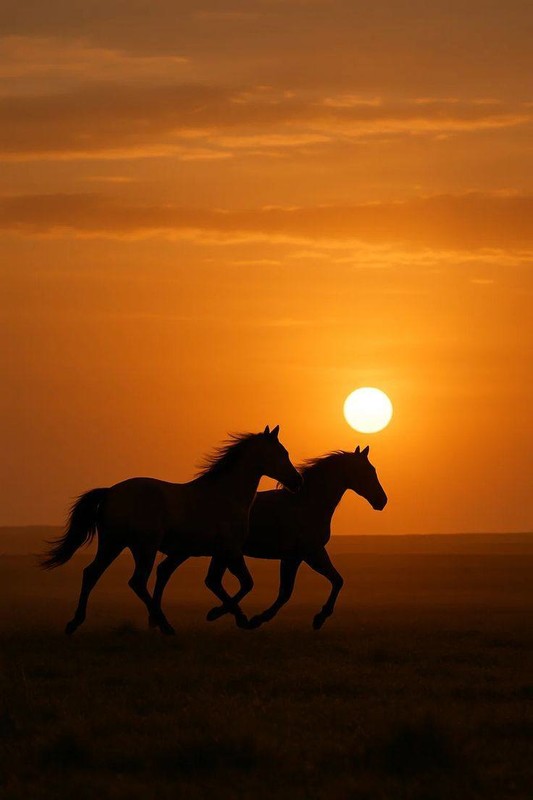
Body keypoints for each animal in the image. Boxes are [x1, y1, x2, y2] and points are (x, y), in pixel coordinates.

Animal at [40, 425, 302, 635]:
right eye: (282, 453)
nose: (297, 482)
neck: (226, 495)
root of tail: (111, 492)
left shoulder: (220, 553)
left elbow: (216, 582)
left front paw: (236, 617)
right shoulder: (232, 550)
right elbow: (245, 583)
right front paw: (230, 617)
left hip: (114, 543)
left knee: (91, 573)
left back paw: (74, 623)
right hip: (144, 547)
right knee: (136, 581)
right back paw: (165, 625)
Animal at [204, 445, 387, 630]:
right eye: (367, 471)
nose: (382, 501)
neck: (305, 504)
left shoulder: (304, 555)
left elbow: (333, 581)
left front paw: (319, 618)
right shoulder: (306, 555)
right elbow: (290, 592)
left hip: (223, 553)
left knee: (213, 581)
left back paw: (222, 613)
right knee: (216, 581)